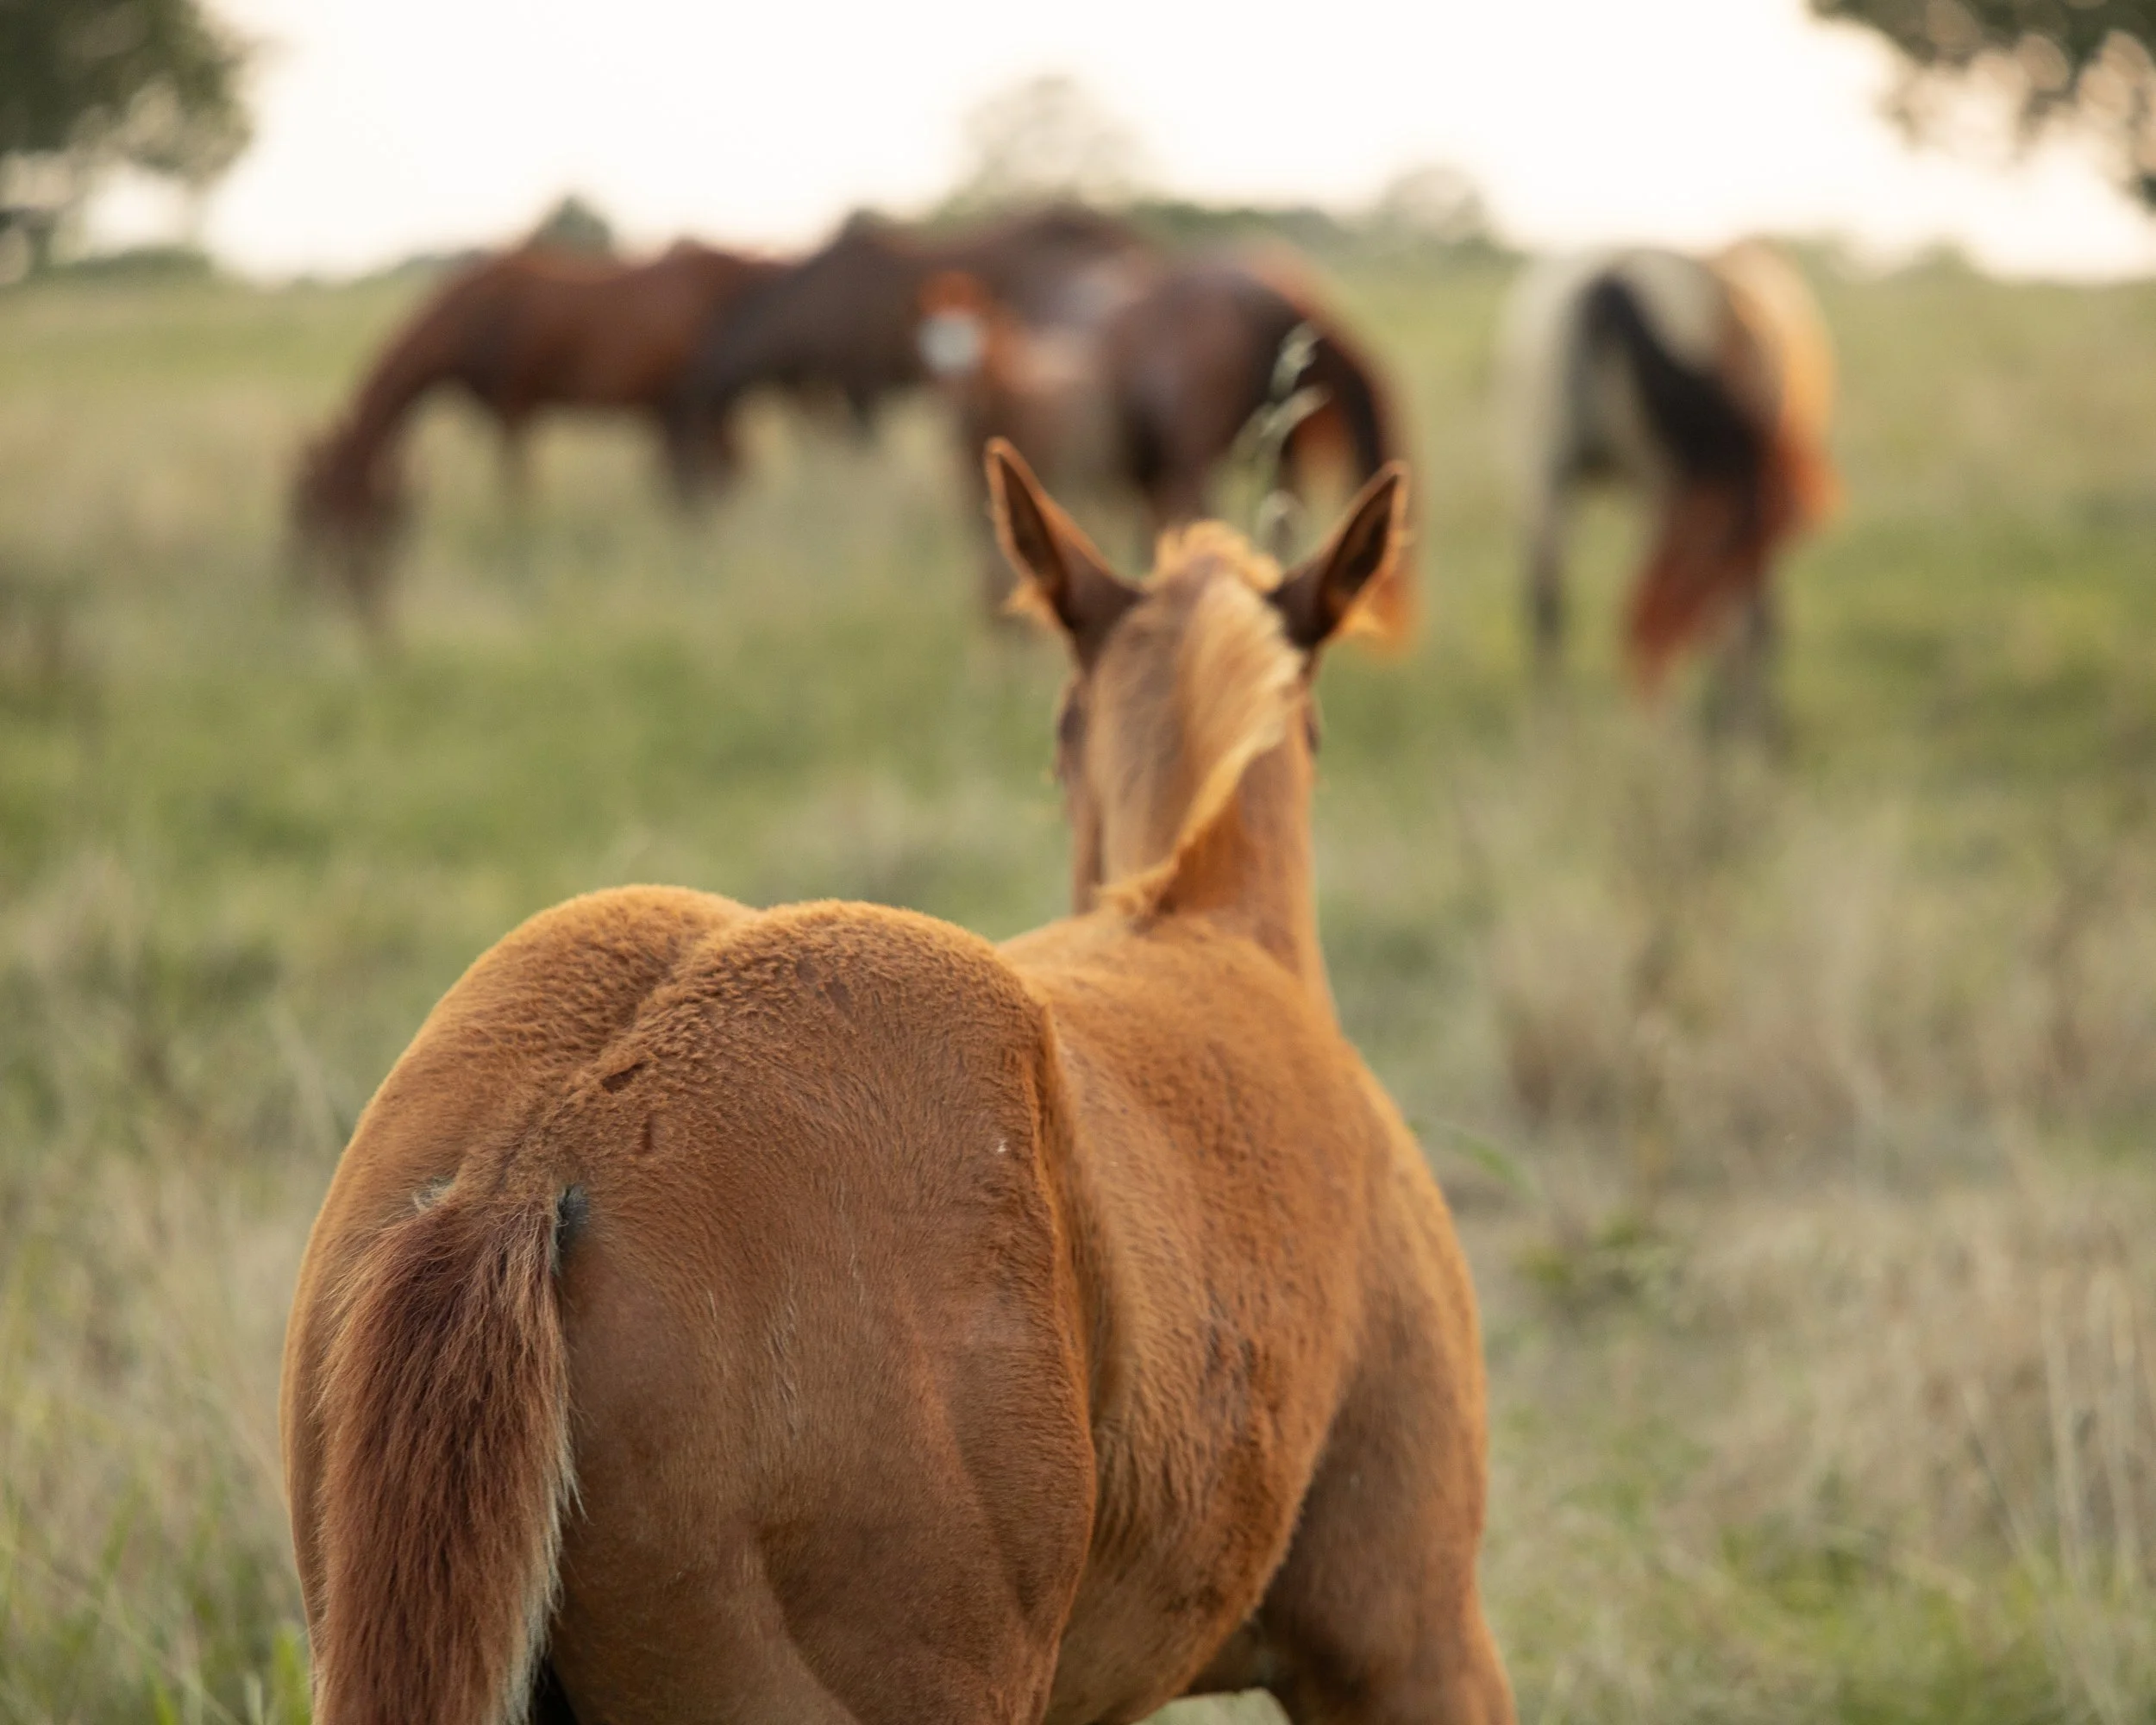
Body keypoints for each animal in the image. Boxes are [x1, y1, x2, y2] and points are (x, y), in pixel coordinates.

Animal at [291, 239, 783, 624]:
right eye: (317, 514)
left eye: (338, 513)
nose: (317, 585)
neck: (476, 314)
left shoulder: (513, 409)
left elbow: (516, 487)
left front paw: (519, 551)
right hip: (705, 413)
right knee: (726, 473)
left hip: (705, 409)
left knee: (725, 472)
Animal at [1495, 240, 1838, 696]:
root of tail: (1612, 272)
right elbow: (1741, 622)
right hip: (1662, 491)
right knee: (1663, 603)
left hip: (1545, 481)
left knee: (1548, 606)